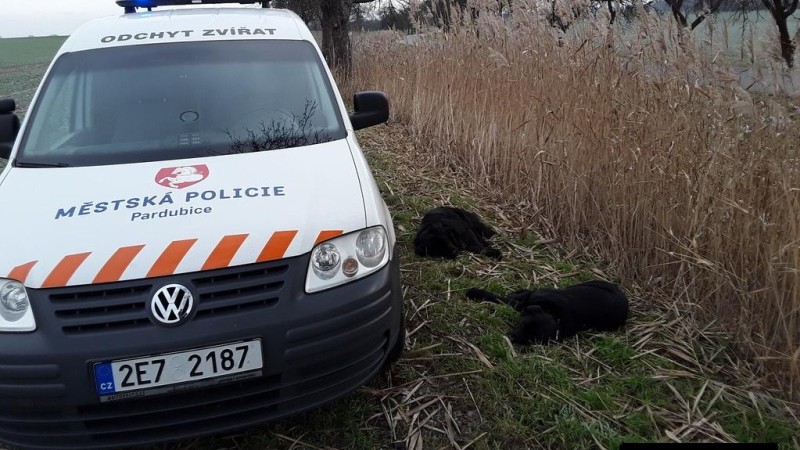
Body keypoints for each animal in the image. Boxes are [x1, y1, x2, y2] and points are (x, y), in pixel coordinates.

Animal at [466, 282, 628, 344]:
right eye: (522, 324)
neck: (555, 316)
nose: (512, 338)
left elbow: (506, 300)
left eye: (532, 339)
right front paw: (474, 292)